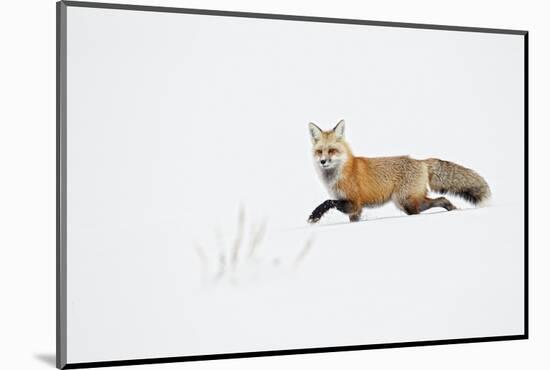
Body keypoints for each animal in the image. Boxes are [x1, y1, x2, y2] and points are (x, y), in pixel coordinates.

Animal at [308, 120, 494, 223]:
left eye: (332, 151)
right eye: (320, 151)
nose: (323, 161)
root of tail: (421, 161)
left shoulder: (354, 203)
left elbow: (327, 202)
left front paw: (314, 216)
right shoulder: (355, 210)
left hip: (405, 202)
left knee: (428, 206)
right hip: (408, 202)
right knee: (442, 199)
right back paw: (453, 209)